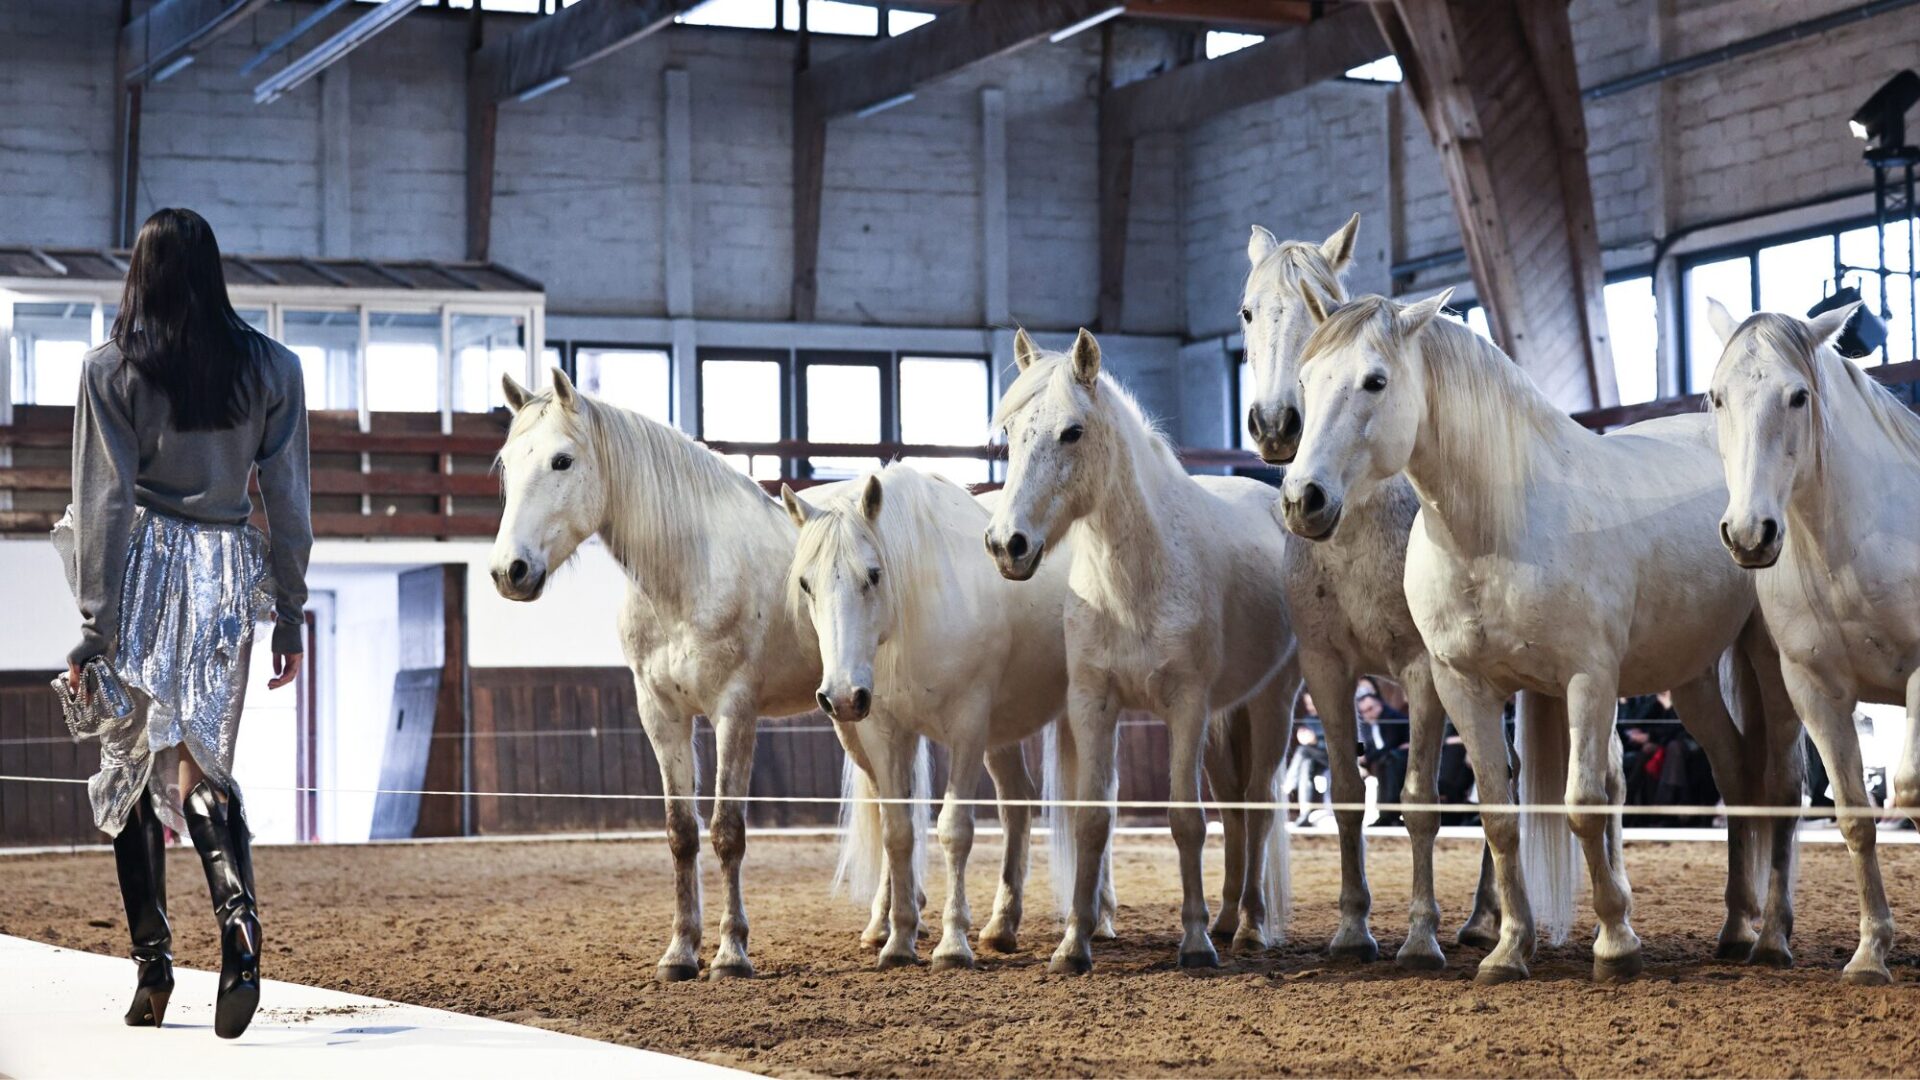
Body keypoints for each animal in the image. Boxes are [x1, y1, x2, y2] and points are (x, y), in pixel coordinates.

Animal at [490, 368, 847, 982]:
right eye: (508, 464)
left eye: (562, 461)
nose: (508, 571)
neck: (692, 570)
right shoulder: (661, 715)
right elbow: (681, 832)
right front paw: (681, 952)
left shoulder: (735, 713)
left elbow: (727, 831)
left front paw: (731, 953)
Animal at [985, 328, 1300, 974]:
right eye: (1009, 433)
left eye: (1073, 431)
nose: (1008, 545)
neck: (1134, 580)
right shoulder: (1094, 703)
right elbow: (1092, 819)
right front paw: (1073, 944)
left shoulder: (1185, 706)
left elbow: (1185, 820)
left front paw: (1195, 943)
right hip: (1224, 720)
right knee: (1234, 805)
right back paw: (1228, 917)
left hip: (1271, 705)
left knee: (1256, 802)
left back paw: (1250, 927)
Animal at [1240, 214, 1512, 967]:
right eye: (1248, 312)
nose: (1276, 425)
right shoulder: (1327, 670)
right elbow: (1345, 794)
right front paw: (1353, 928)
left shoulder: (1422, 672)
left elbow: (1419, 799)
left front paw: (1419, 937)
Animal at [1278, 292, 1802, 984]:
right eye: (1305, 381)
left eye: (1376, 381)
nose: (1303, 499)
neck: (1499, 529)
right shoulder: (1462, 686)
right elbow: (1500, 818)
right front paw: (1507, 949)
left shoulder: (1587, 681)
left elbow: (1583, 803)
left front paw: (1616, 945)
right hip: (1690, 675)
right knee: (1737, 773)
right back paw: (1736, 929)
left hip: (1770, 661)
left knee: (1781, 783)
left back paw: (1771, 937)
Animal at [1706, 298, 1907, 983]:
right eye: (1716, 396)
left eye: (1798, 397)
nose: (1749, 534)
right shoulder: (1815, 691)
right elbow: (1852, 816)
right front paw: (1872, 953)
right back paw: (1770, 936)